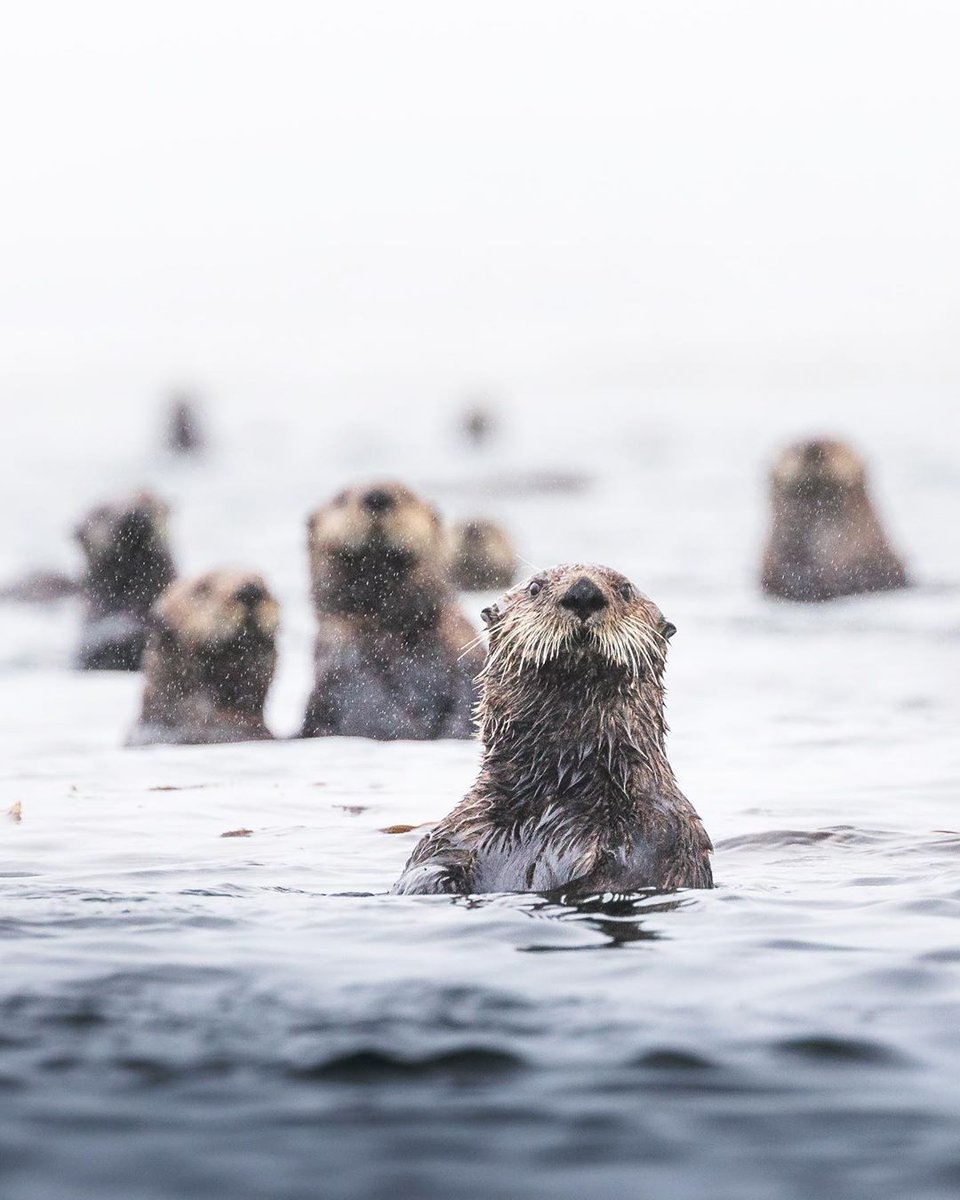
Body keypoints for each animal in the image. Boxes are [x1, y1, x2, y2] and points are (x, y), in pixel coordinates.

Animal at [302, 481, 485, 740]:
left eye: (406, 495)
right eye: (341, 498)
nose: (377, 497)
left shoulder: (460, 642)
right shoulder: (340, 653)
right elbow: (364, 700)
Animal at [393, 564, 712, 896]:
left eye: (625, 590)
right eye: (535, 587)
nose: (583, 592)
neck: (561, 788)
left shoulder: (660, 835)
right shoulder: (459, 831)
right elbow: (426, 867)